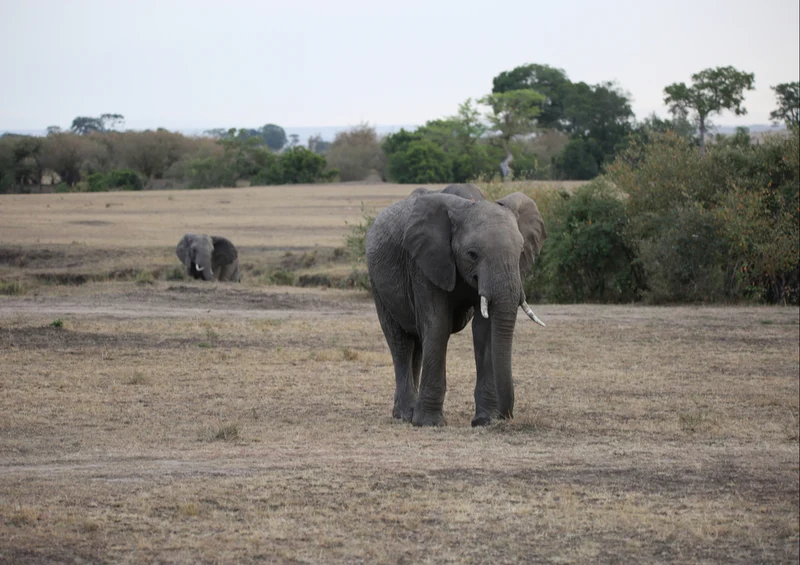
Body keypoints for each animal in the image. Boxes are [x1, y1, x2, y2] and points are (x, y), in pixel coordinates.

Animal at [365, 183, 546, 427]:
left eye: (521, 252)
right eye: (472, 254)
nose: (505, 417)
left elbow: (484, 330)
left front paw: (485, 420)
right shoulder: (424, 263)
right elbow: (438, 325)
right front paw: (429, 423)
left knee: (418, 344)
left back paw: (405, 413)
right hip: (377, 282)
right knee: (401, 342)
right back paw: (406, 414)